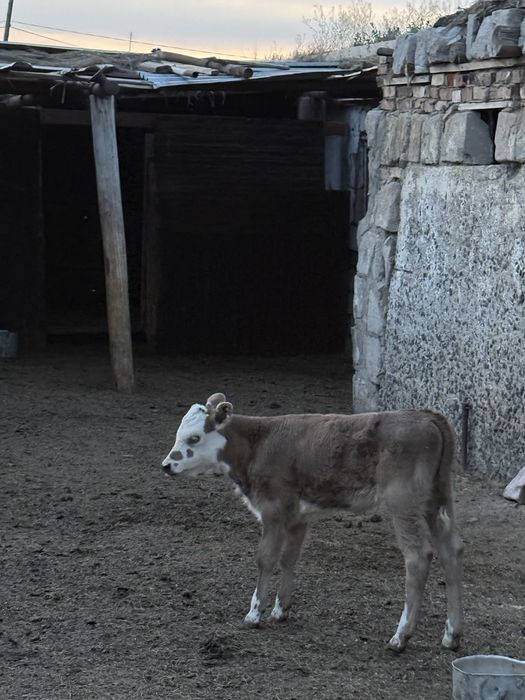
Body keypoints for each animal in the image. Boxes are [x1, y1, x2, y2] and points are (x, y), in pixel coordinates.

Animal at [162, 393, 464, 652]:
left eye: (194, 437)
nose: (166, 465)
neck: (259, 443)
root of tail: (426, 416)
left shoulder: (273, 510)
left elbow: (266, 559)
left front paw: (254, 613)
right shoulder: (297, 517)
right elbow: (289, 559)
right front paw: (280, 610)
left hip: (404, 503)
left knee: (418, 557)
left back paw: (401, 636)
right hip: (436, 501)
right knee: (451, 552)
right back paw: (452, 634)